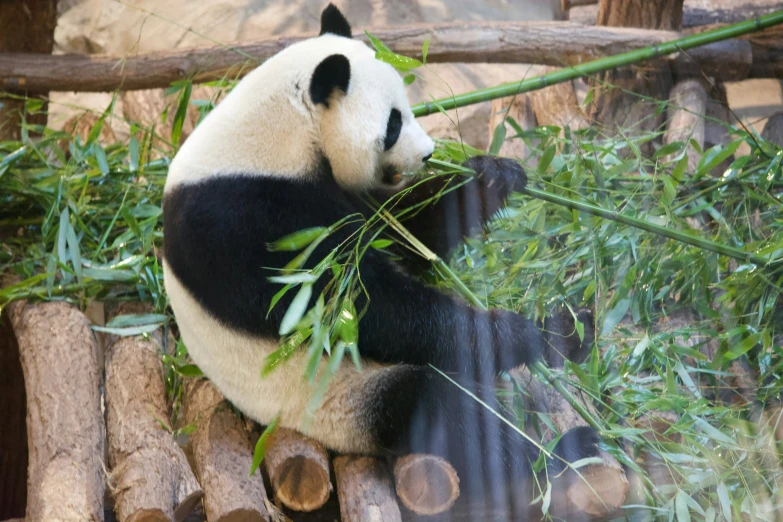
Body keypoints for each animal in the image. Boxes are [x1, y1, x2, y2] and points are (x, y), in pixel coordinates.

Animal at [162, 2, 596, 510]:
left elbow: (405, 235)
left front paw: (491, 177)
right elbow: (359, 305)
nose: (428, 154)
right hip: (338, 398)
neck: (272, 135)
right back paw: (562, 455)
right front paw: (525, 332)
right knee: (445, 411)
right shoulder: (246, 220)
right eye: (393, 123)